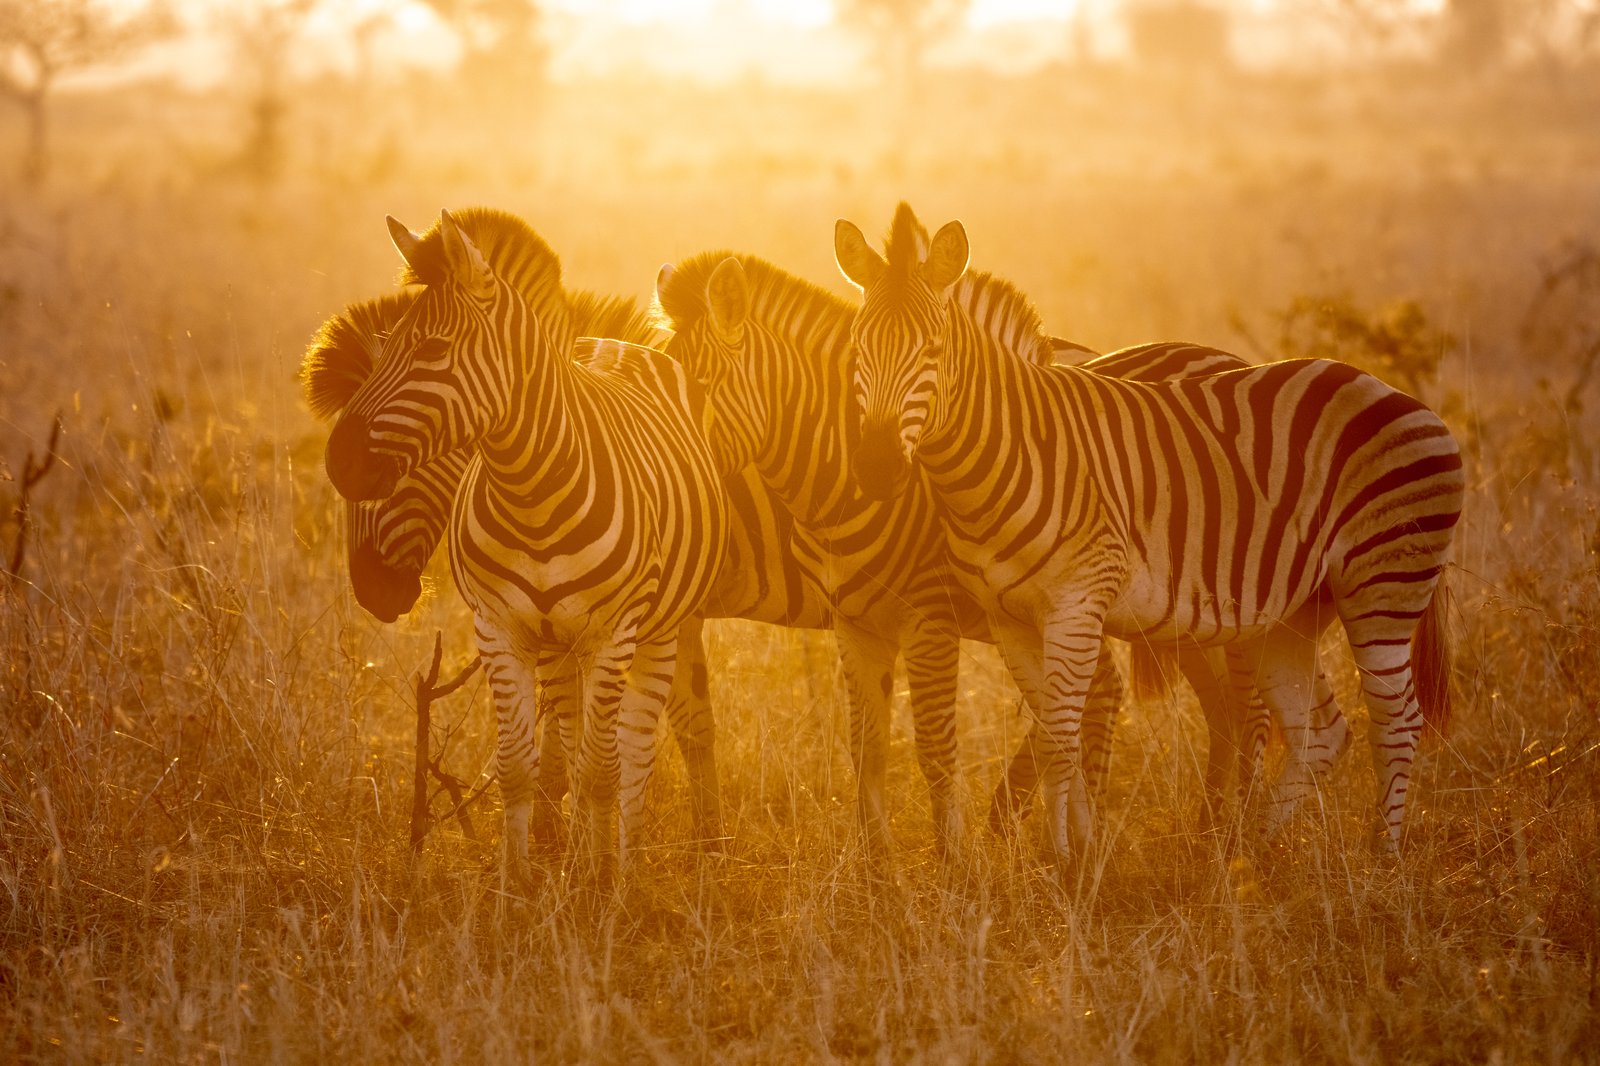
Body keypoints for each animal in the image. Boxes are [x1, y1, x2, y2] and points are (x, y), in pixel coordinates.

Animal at [322, 207, 730, 878]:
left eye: (432, 350)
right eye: (388, 344)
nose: (339, 463)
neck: (532, 489)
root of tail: (611, 345)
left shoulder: (613, 632)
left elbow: (602, 771)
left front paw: (599, 886)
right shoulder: (501, 628)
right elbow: (519, 767)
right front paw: (518, 885)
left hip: (660, 627)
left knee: (635, 751)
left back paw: (626, 866)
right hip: (560, 645)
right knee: (575, 735)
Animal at [654, 254, 1347, 863]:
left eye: (697, 390)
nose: (668, 487)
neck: (839, 469)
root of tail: (1237, 359)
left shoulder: (928, 617)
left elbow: (932, 744)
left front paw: (953, 866)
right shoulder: (851, 620)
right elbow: (858, 745)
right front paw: (872, 871)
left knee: (1238, 709)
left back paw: (1218, 836)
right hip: (1180, 615)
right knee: (1222, 707)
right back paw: (1204, 830)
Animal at [836, 203, 1460, 861]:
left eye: (932, 350)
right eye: (856, 350)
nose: (876, 466)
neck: (1008, 452)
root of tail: (1399, 394)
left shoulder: (1078, 603)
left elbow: (1061, 735)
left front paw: (1065, 861)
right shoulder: (1011, 620)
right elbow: (1053, 733)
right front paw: (1064, 855)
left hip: (1381, 584)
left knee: (1396, 721)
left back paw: (1381, 857)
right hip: (1290, 614)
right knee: (1319, 732)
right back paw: (1252, 853)